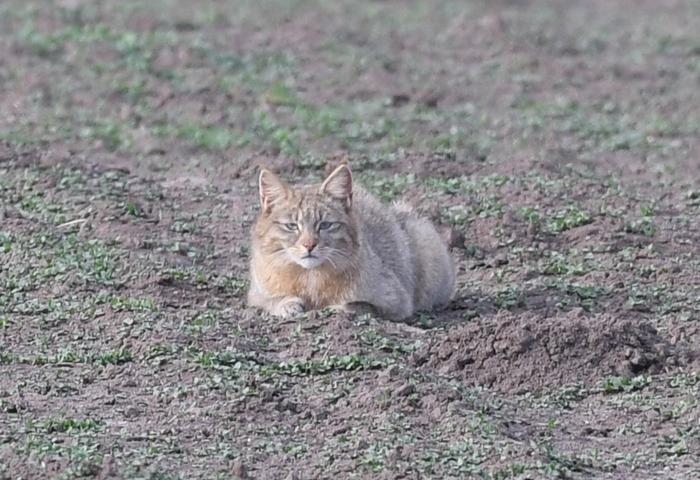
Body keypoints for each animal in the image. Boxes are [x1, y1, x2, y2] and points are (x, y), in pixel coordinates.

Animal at [249, 164, 456, 318]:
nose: (309, 245)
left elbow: (359, 305)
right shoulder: (255, 293)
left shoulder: (399, 302)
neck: (311, 278)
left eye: (325, 225)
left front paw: (335, 308)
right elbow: (270, 301)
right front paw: (287, 304)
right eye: (292, 226)